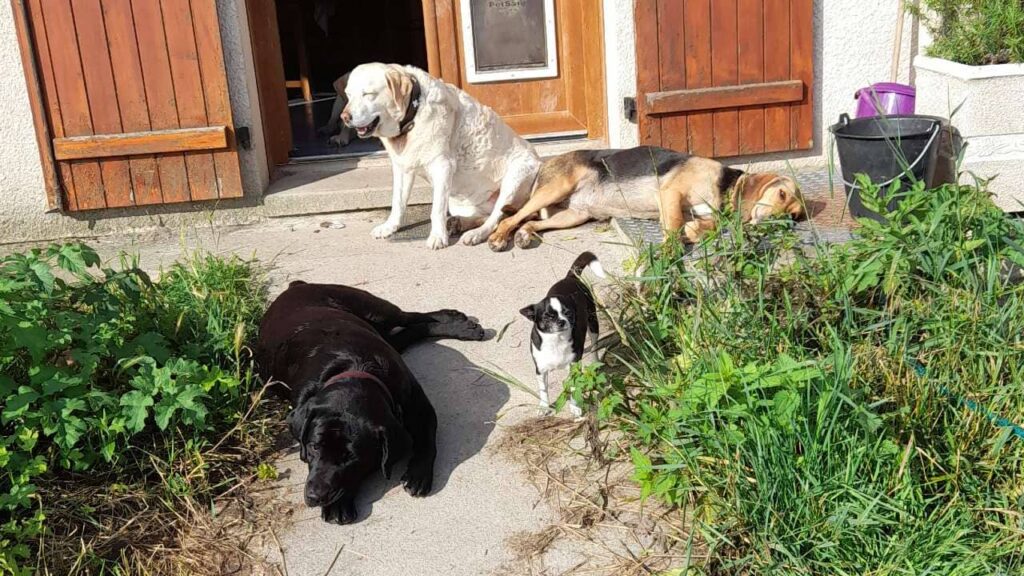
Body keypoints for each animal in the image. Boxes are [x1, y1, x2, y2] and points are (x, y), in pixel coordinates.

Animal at [253, 280, 481, 522]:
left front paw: (418, 473)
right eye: (314, 447)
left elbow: (427, 439)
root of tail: (297, 285)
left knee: (411, 317)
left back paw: (456, 322)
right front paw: (338, 504)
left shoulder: (420, 407)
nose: (315, 496)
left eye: (352, 458)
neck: (355, 368)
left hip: (373, 308)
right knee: (410, 329)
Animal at [342, 61, 540, 248]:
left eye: (368, 94)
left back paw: (475, 234)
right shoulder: (402, 168)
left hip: (514, 178)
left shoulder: (442, 166)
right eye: (349, 95)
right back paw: (458, 223)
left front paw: (437, 237)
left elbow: (436, 209)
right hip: (460, 203)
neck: (413, 116)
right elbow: (397, 202)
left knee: (497, 218)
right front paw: (390, 227)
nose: (344, 117)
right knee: (490, 215)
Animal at [489, 145, 806, 249]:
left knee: (530, 222)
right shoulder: (671, 194)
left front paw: (694, 231)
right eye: (781, 193)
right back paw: (499, 237)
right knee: (510, 218)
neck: (724, 186)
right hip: (555, 188)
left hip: (574, 216)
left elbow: (701, 226)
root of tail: (545, 163)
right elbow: (675, 228)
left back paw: (525, 235)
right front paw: (670, 251)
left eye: (794, 216)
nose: (780, 223)